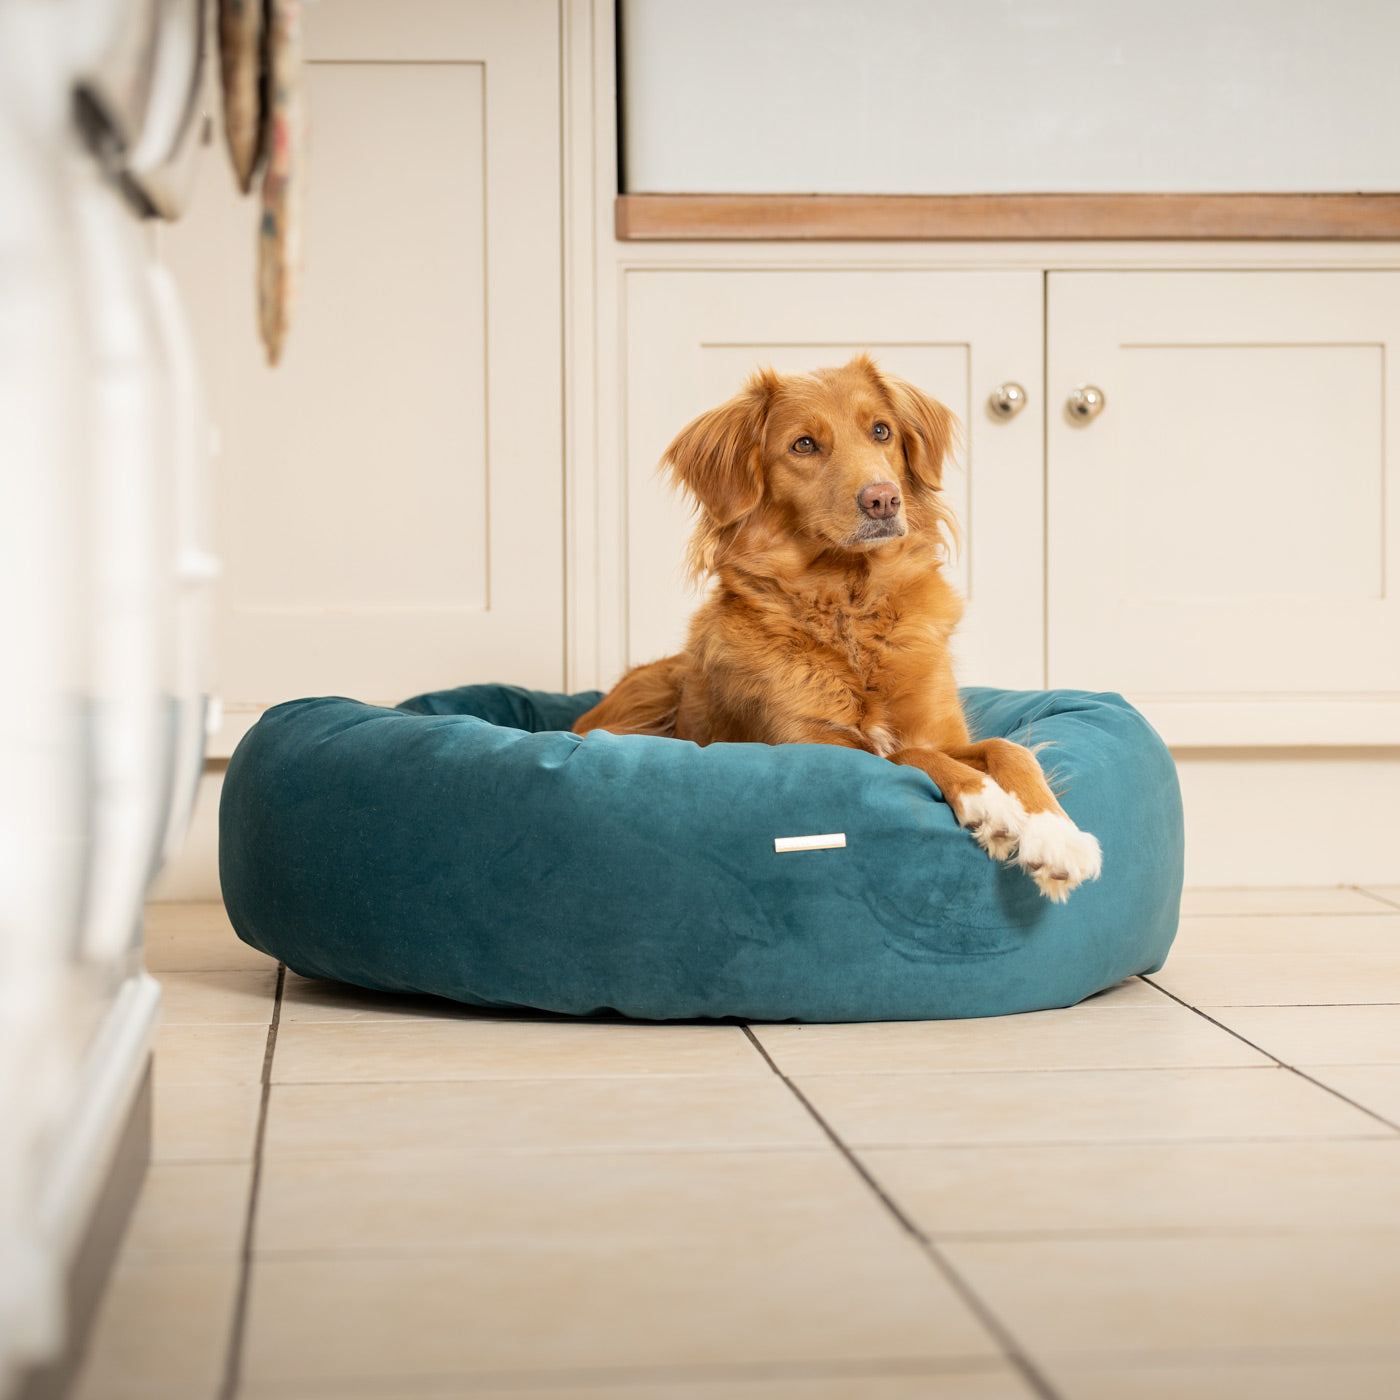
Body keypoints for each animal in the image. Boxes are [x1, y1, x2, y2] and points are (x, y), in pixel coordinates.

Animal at [574, 350, 1097, 896]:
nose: (884, 499)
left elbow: (1007, 748)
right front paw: (988, 803)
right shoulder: (812, 744)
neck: (850, 605)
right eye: (804, 444)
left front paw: (1057, 836)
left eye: (882, 431)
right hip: (650, 694)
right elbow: (907, 757)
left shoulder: (943, 732)